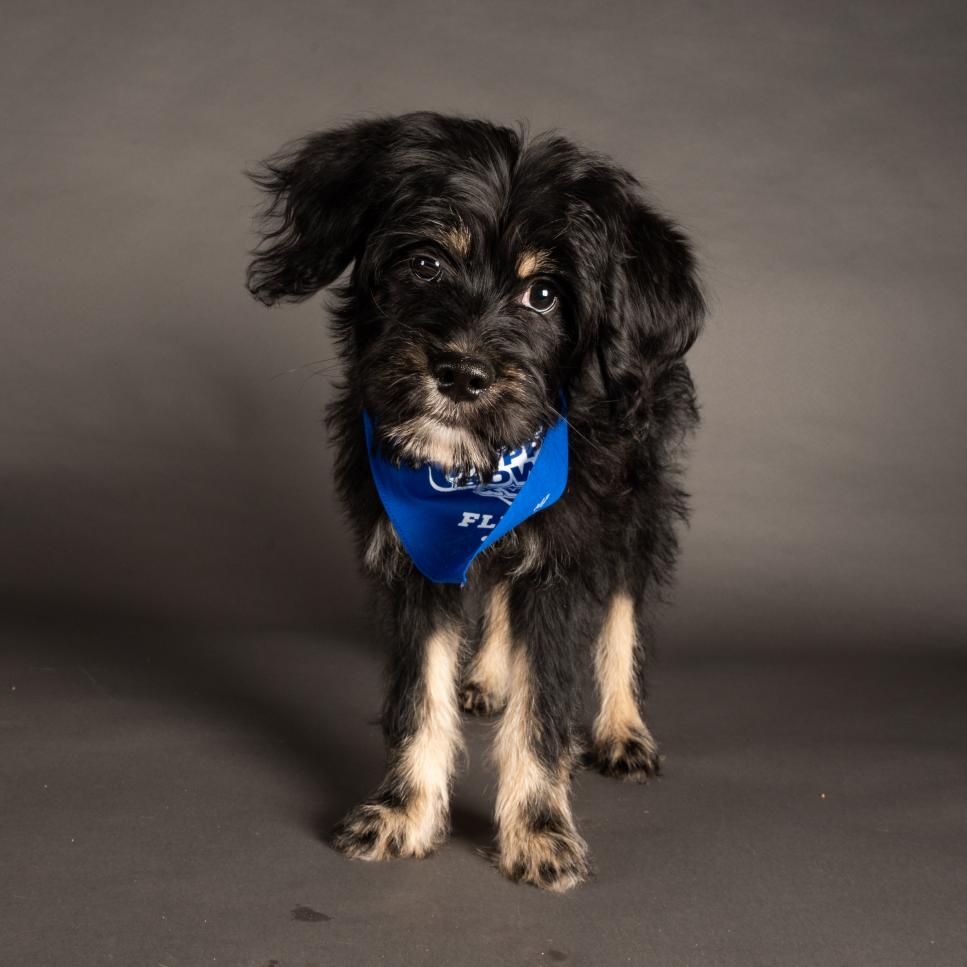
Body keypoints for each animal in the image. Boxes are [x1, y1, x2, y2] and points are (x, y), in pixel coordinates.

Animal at [246, 108, 708, 892]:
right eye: (426, 264)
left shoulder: (560, 560)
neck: (466, 479)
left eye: (544, 294)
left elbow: (545, 707)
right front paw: (404, 811)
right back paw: (490, 673)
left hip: (636, 496)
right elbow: (417, 694)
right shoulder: (412, 554)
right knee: (493, 586)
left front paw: (539, 830)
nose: (461, 373)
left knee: (621, 603)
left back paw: (621, 728)